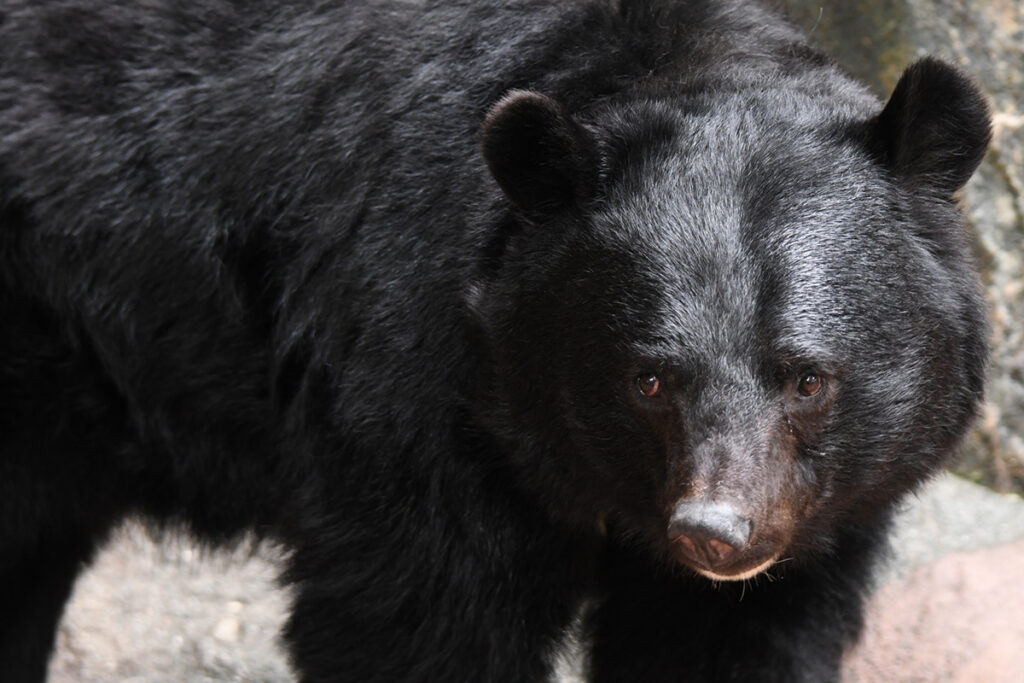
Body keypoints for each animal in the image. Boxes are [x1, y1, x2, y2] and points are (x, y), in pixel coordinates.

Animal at [0, 0, 991, 681]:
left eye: (807, 378)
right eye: (648, 380)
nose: (716, 532)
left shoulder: (817, 515)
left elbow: (731, 635)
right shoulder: (414, 389)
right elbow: (421, 615)